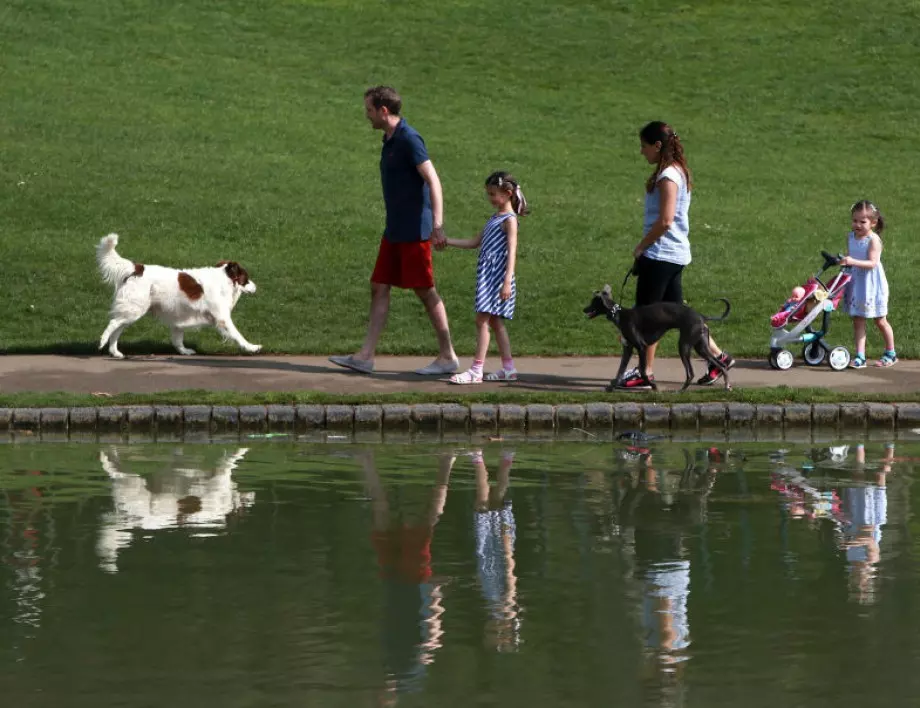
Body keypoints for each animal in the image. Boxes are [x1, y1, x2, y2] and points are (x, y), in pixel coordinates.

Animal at [96, 233, 261, 358]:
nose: (256, 287)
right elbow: (237, 334)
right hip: (134, 310)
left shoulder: (180, 317)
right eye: (246, 279)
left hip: (131, 312)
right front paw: (251, 347)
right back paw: (102, 341)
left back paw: (115, 352)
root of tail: (137, 268)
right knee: (113, 323)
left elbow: (177, 339)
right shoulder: (222, 318)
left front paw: (184, 351)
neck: (223, 280)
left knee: (117, 329)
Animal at [584, 285, 731, 392]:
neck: (620, 315)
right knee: (721, 365)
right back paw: (727, 386)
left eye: (593, 302)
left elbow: (643, 371)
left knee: (691, 373)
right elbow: (619, 371)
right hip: (700, 347)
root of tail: (701, 316)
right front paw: (611, 387)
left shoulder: (641, 347)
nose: (584, 310)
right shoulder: (628, 349)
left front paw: (653, 385)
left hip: (684, 346)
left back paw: (681, 390)